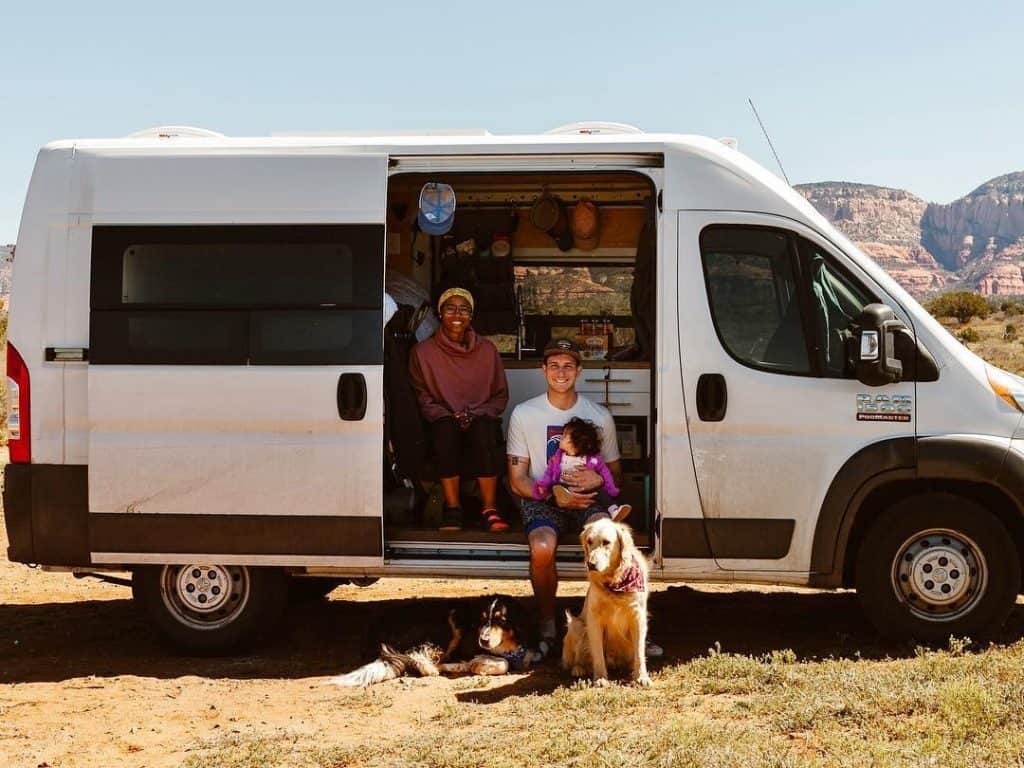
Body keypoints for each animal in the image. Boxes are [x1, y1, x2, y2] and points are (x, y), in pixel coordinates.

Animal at [333, 598, 544, 688]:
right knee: (422, 661)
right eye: (483, 619)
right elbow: (503, 663)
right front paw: (478, 664)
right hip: (447, 626)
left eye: (502, 620)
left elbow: (531, 654)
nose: (483, 640)